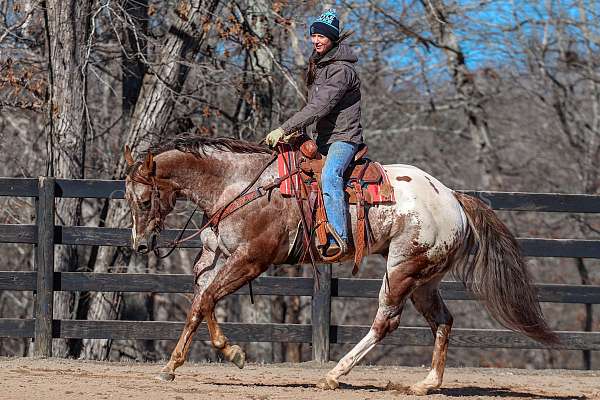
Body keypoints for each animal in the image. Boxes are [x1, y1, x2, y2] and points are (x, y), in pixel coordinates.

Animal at [122, 134, 556, 394]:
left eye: (142, 200)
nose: (140, 244)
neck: (240, 186)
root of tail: (453, 198)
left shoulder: (250, 260)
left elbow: (209, 300)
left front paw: (233, 354)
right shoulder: (220, 260)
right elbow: (200, 303)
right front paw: (172, 366)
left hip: (402, 270)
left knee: (386, 322)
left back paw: (334, 375)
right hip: (425, 280)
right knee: (442, 320)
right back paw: (426, 383)